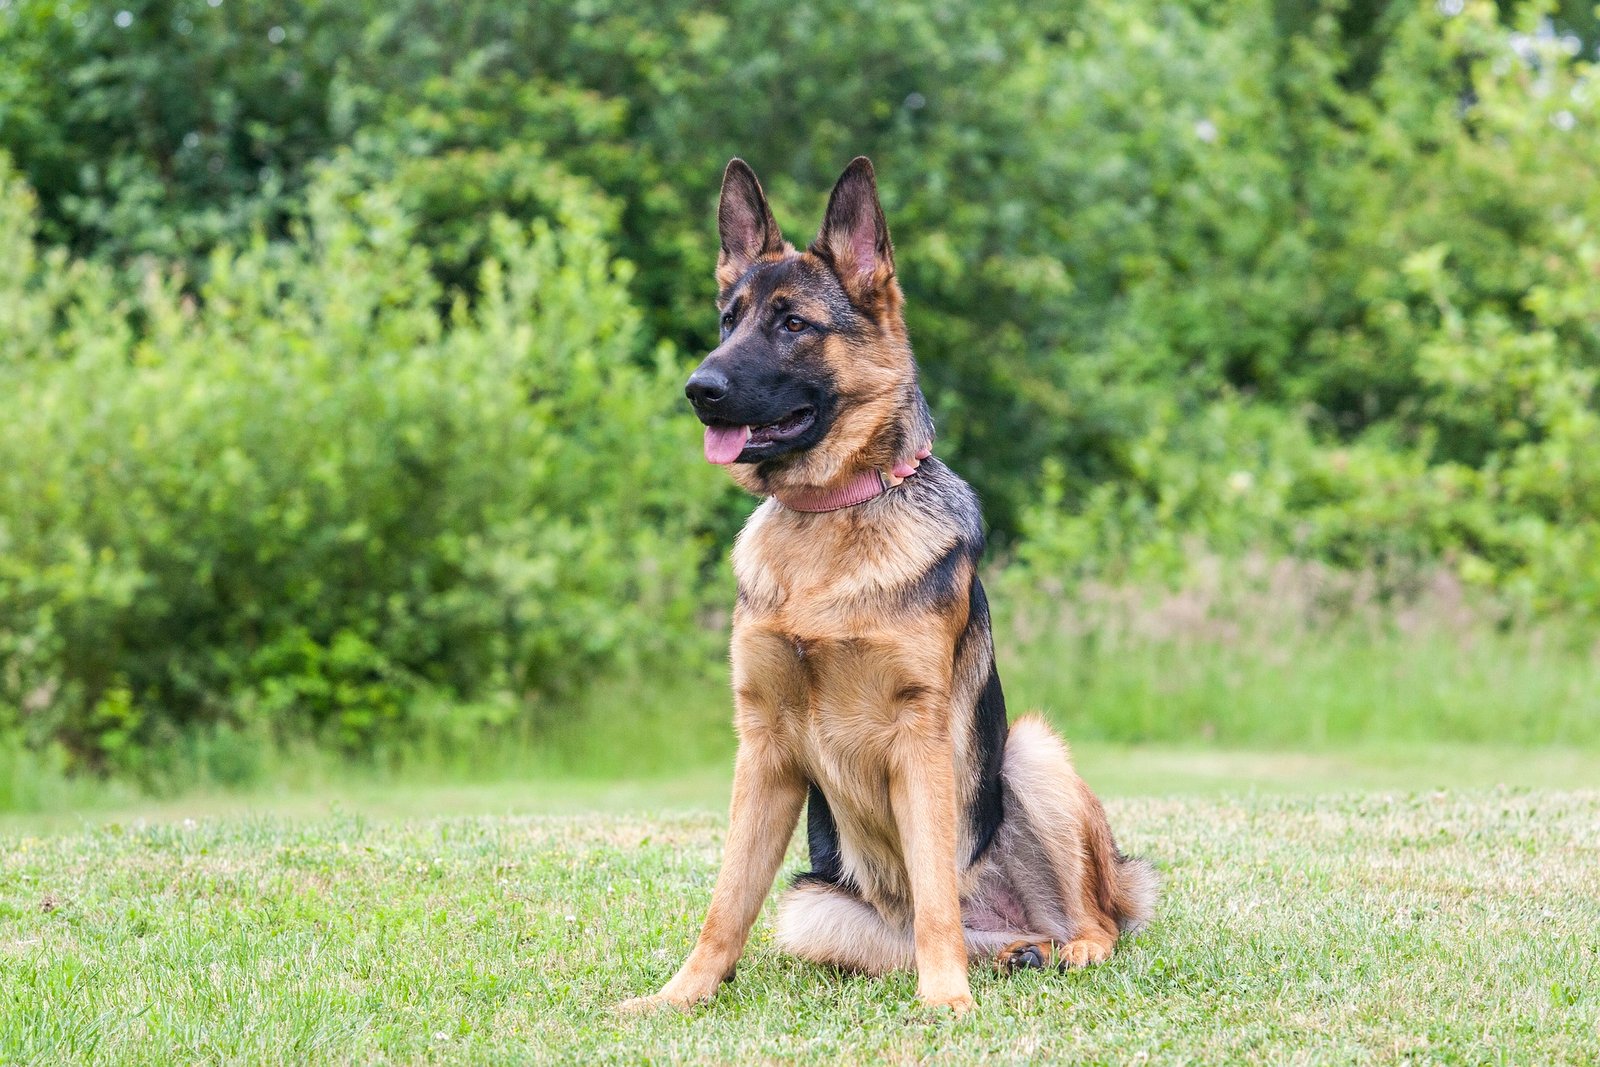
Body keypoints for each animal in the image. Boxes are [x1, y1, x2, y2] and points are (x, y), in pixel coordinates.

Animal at [617, 154, 1158, 1017]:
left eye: (793, 325)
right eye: (728, 319)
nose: (699, 388)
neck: (831, 517)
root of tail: (1009, 921)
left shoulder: (919, 737)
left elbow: (935, 892)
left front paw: (946, 1003)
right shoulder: (763, 747)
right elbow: (725, 903)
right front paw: (679, 995)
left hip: (1031, 752)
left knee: (1087, 917)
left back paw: (1062, 948)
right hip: (814, 906)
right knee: (953, 939)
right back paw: (1015, 956)